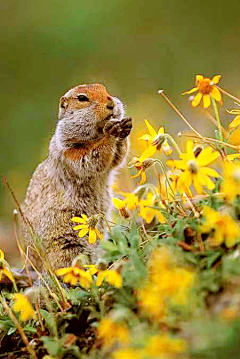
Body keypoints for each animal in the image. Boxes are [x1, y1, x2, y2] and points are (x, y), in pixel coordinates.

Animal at [21, 83, 132, 270]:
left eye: (105, 89)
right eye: (82, 98)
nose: (111, 104)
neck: (94, 136)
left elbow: (117, 158)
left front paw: (125, 127)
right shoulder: (69, 153)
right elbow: (91, 158)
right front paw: (111, 131)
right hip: (67, 243)